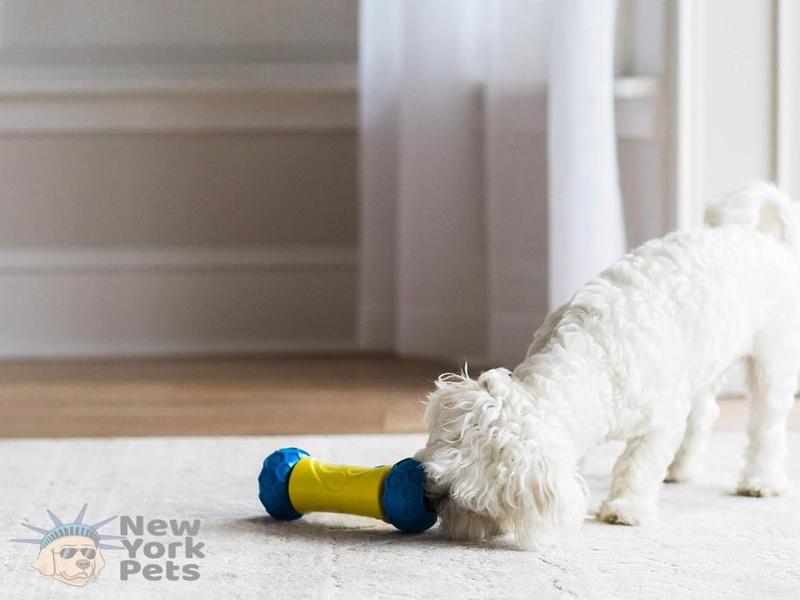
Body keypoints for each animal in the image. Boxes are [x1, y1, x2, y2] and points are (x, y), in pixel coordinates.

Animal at [416, 182, 800, 548]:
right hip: (705, 362)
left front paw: (626, 507)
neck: (593, 358)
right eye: (436, 476)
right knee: (705, 415)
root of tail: (760, 237)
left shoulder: (660, 421)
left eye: (466, 500)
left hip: (772, 360)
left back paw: (761, 480)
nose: (430, 499)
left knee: (766, 425)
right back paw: (683, 467)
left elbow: (638, 465)